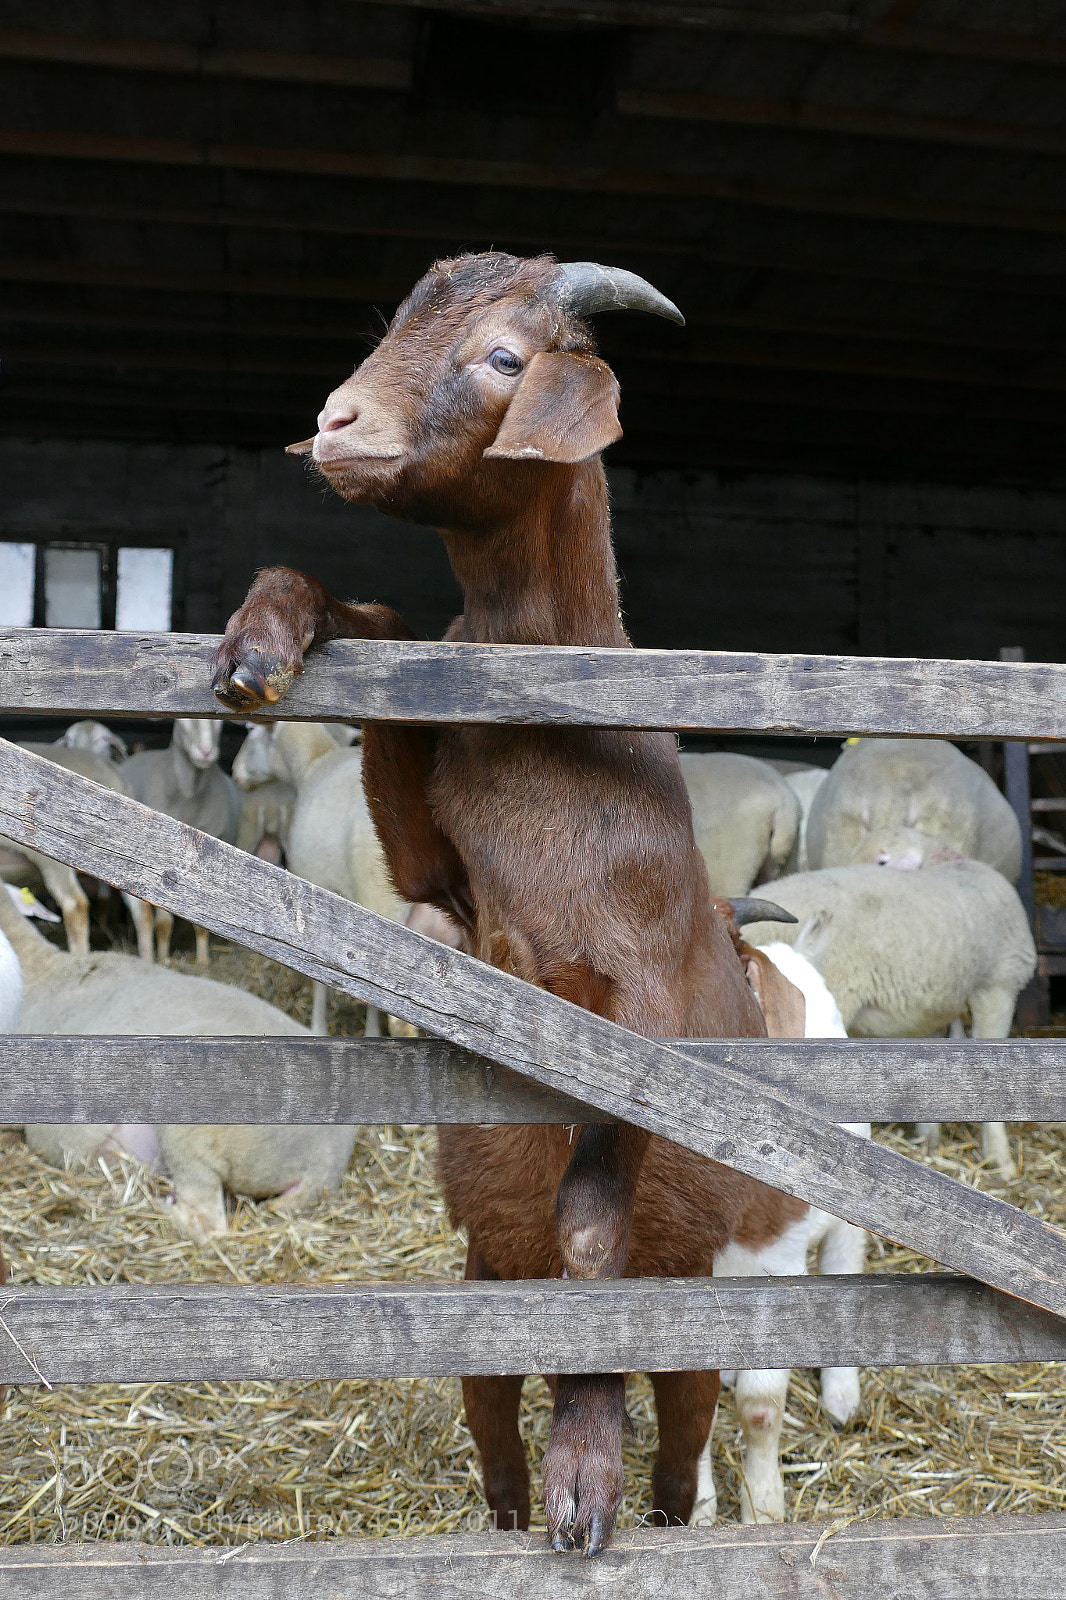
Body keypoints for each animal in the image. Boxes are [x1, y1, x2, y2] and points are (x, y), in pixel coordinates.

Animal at [211, 251, 804, 1554]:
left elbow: (589, 1227)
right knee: (490, 1432)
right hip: (481, 1297)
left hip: (687, 1317)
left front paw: (587, 1467)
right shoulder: (442, 886)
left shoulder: (636, 998)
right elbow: (380, 635)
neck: (552, 720)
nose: (336, 422)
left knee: (680, 1439)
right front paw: (258, 642)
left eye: (502, 357)